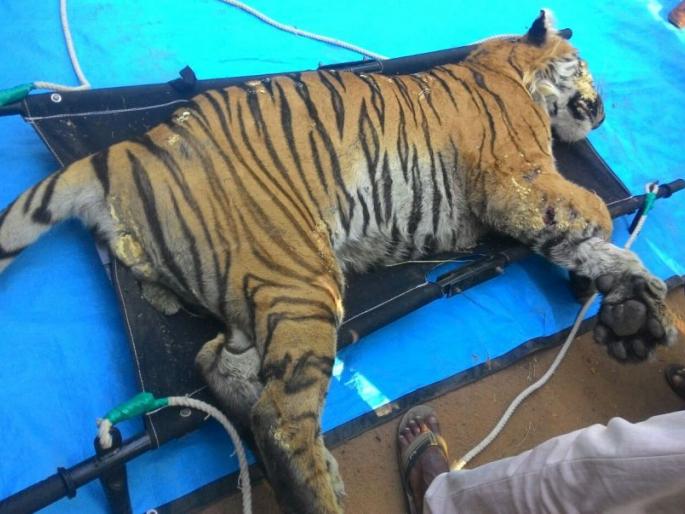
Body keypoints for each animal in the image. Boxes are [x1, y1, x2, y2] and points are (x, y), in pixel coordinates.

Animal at [0, 9, 677, 514]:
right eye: (586, 68)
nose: (605, 110)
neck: (506, 66)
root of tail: (123, 152)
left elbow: (595, 248)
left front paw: (639, 314)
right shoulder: (516, 180)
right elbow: (590, 213)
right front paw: (614, 269)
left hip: (253, 297)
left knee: (219, 365)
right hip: (301, 277)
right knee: (280, 417)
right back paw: (317, 494)